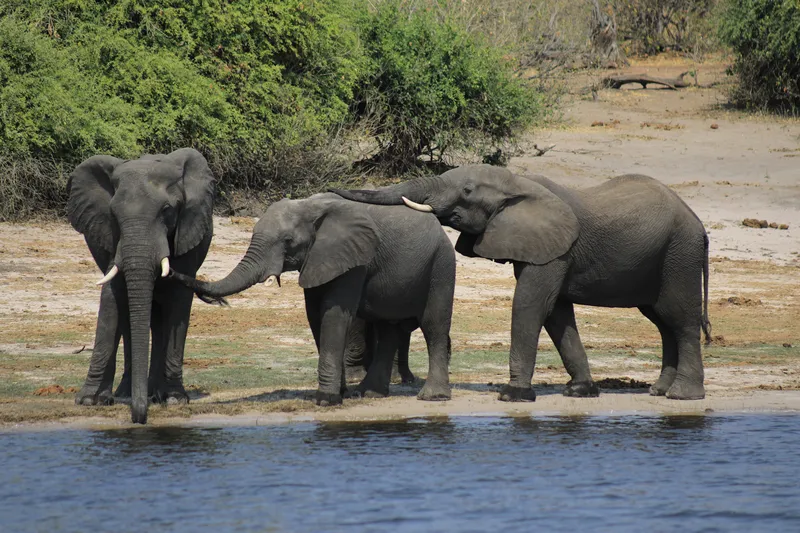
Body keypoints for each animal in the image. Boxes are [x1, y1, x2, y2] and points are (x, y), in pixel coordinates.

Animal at [66, 148, 215, 424]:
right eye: (113, 214)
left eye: (167, 210)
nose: (139, 419)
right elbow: (111, 301)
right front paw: (90, 401)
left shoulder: (186, 233)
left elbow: (178, 304)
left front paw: (175, 399)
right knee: (130, 321)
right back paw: (127, 394)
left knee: (160, 320)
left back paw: (155, 394)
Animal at [170, 193, 455, 406]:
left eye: (288, 241)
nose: (169, 270)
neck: (310, 206)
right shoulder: (318, 259)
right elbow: (315, 314)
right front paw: (340, 394)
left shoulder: (354, 257)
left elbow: (333, 313)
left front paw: (327, 400)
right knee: (388, 330)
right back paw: (369, 394)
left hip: (441, 265)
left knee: (433, 326)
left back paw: (433, 397)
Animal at [332, 165, 711, 401]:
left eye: (467, 190)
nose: (333, 189)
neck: (519, 182)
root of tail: (699, 223)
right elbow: (557, 314)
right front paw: (580, 391)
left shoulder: (556, 250)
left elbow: (530, 304)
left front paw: (513, 395)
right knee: (662, 321)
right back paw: (658, 391)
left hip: (680, 254)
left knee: (679, 318)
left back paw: (682, 396)